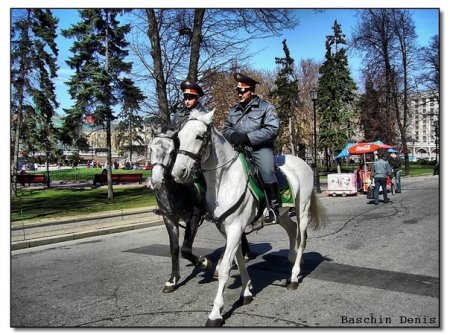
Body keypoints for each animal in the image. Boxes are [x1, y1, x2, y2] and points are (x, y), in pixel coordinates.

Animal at [171, 109, 326, 326]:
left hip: (302, 208)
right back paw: (292, 258)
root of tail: (302, 162)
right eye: (178, 137)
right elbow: (239, 260)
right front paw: (246, 293)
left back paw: (294, 277)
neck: (225, 181)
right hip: (282, 215)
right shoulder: (227, 230)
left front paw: (216, 313)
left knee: (302, 238)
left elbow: (226, 268)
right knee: (292, 230)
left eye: (199, 136)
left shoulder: (235, 228)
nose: (178, 172)